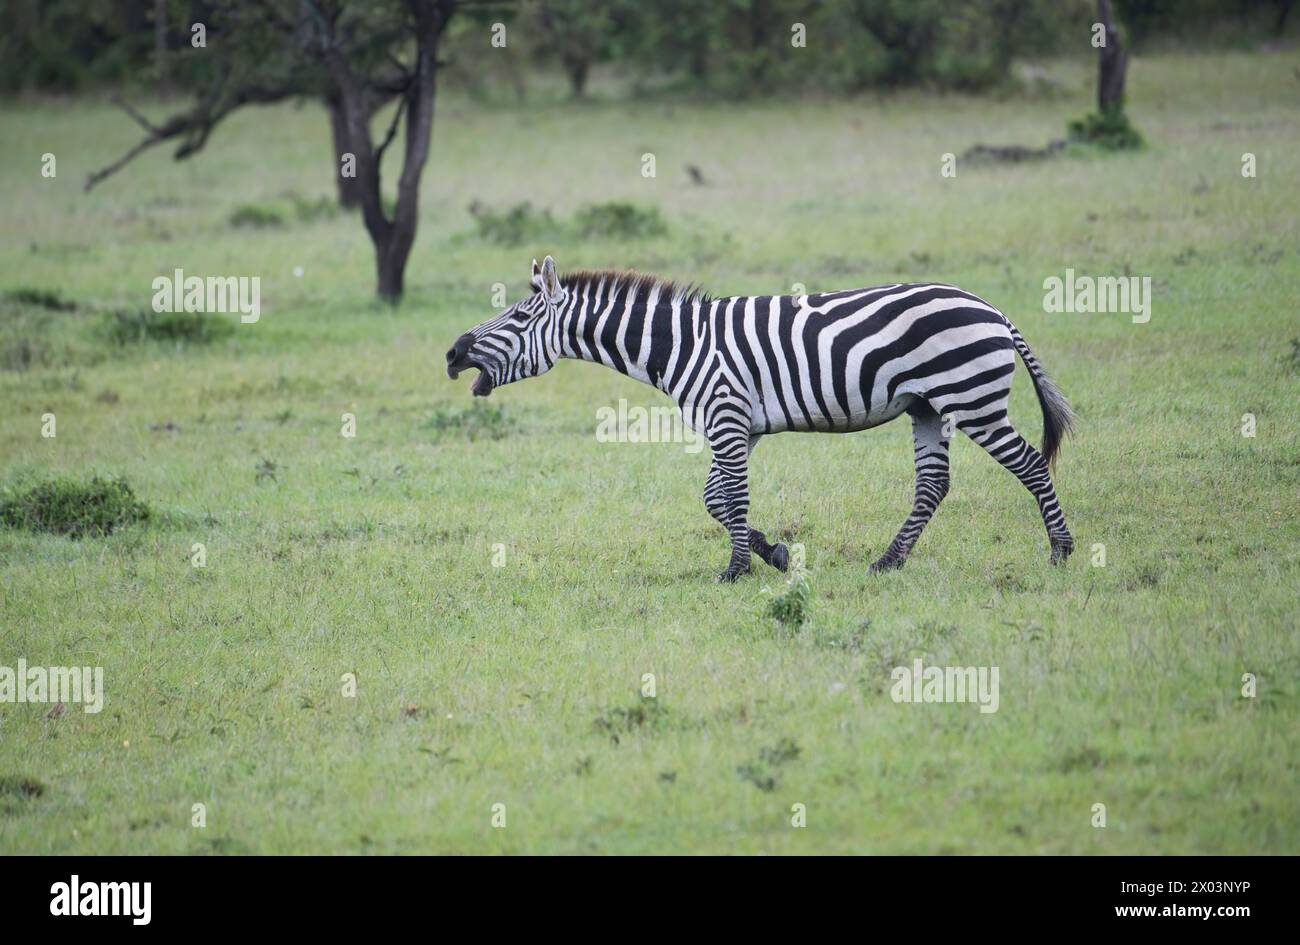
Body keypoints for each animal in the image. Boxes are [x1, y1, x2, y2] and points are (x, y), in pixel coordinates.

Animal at [447, 258, 1076, 584]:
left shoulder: (727, 416)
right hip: (928, 407)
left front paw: (737, 569)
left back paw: (1061, 552)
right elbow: (715, 499)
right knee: (933, 484)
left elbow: (732, 497)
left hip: (970, 398)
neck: (681, 345)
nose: (453, 354)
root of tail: (992, 309)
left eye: (519, 317)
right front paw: (771, 553)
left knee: (1028, 463)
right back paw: (888, 562)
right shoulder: (737, 427)